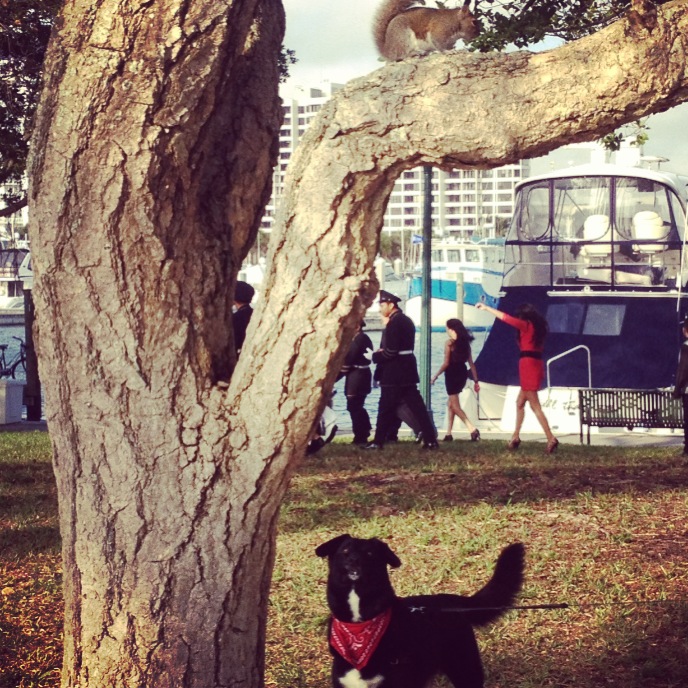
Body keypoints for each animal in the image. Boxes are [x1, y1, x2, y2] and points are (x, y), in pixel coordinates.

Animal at [314, 536, 524, 688]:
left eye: (370, 553)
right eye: (345, 551)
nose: (354, 561)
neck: (360, 626)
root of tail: (451, 600)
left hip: (465, 670)